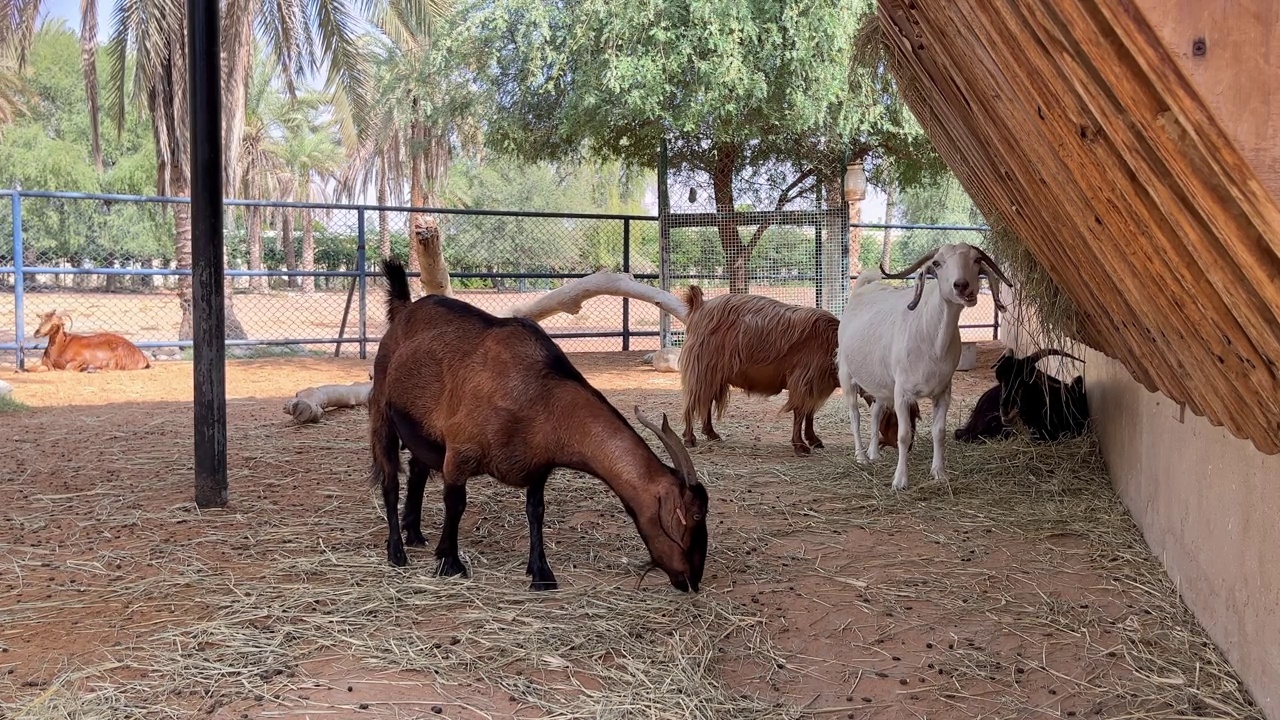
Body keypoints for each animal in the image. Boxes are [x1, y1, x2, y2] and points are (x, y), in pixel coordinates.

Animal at [368, 257, 711, 589]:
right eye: (695, 514)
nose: (692, 579)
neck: (540, 395)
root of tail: (403, 310)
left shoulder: (537, 465)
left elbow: (536, 512)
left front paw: (541, 573)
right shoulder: (459, 452)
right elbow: (455, 504)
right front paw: (449, 562)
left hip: (422, 432)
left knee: (417, 470)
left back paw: (414, 534)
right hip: (381, 409)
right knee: (390, 480)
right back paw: (396, 551)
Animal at [680, 284, 921, 453]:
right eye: (899, 416)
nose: (908, 446)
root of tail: (700, 305)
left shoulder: (816, 385)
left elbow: (809, 413)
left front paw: (813, 439)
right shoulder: (804, 380)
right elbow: (799, 411)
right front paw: (800, 445)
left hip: (715, 374)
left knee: (706, 400)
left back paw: (711, 433)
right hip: (702, 368)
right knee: (692, 402)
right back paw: (689, 438)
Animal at [839, 243, 1008, 489]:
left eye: (977, 260)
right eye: (936, 263)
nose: (962, 285)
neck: (932, 338)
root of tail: (862, 289)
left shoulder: (943, 391)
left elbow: (939, 432)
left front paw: (939, 473)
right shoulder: (902, 393)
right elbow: (903, 435)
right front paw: (900, 481)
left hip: (881, 383)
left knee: (876, 411)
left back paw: (873, 454)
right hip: (846, 374)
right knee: (854, 414)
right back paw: (861, 457)